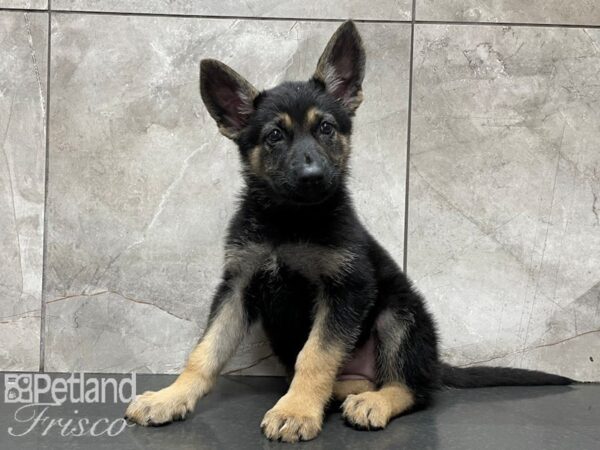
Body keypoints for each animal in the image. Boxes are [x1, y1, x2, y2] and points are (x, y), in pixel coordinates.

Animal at [124, 20, 576, 440]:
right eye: (274, 136)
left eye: (325, 128)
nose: (311, 177)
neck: (289, 221)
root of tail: (433, 364)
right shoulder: (238, 285)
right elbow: (205, 351)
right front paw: (170, 397)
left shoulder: (346, 288)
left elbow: (316, 355)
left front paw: (296, 411)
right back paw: (341, 394)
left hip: (399, 316)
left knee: (412, 389)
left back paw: (372, 401)